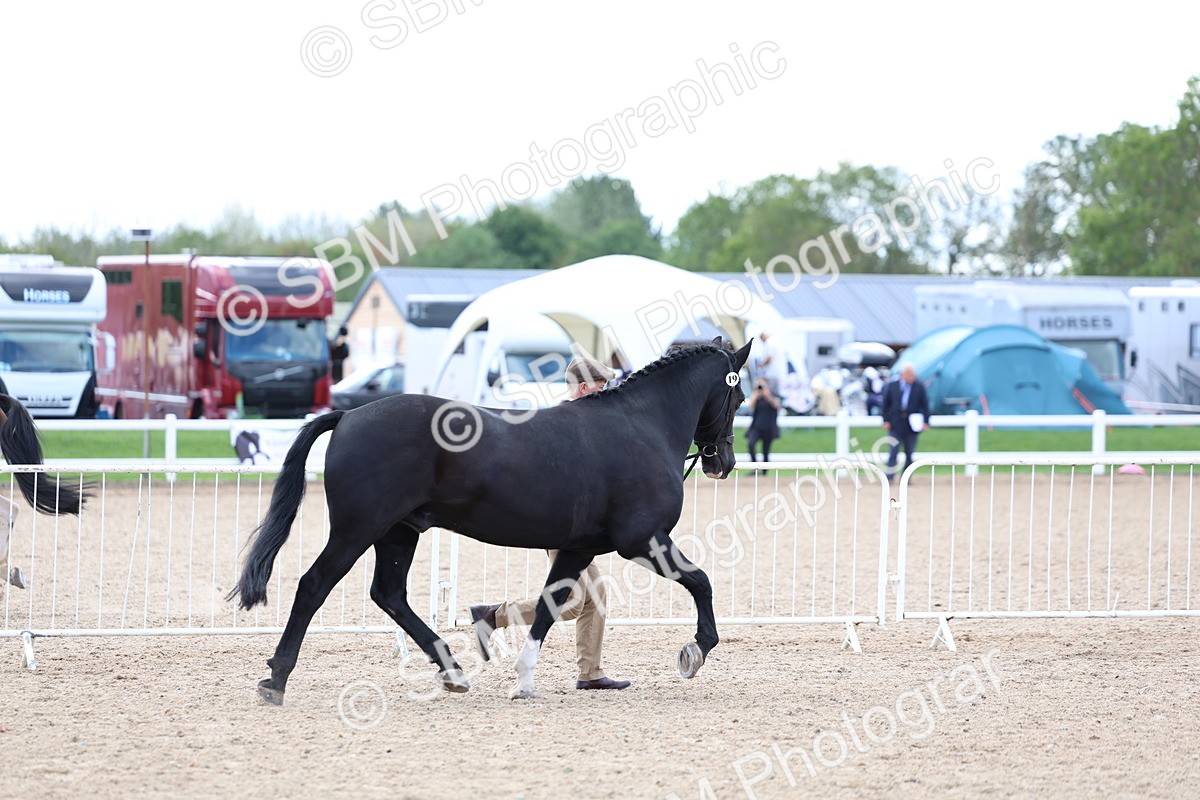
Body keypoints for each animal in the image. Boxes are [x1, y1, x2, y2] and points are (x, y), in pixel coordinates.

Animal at [230, 338, 752, 703]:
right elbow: (701, 581)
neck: (640, 426)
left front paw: (523, 681)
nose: (722, 462)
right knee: (314, 586)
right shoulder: (642, 539)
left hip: (397, 532)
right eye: (741, 396)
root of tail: (350, 415)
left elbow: (547, 607)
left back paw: (453, 671)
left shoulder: (579, 548)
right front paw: (695, 651)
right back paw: (276, 678)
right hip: (358, 529)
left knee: (389, 594)